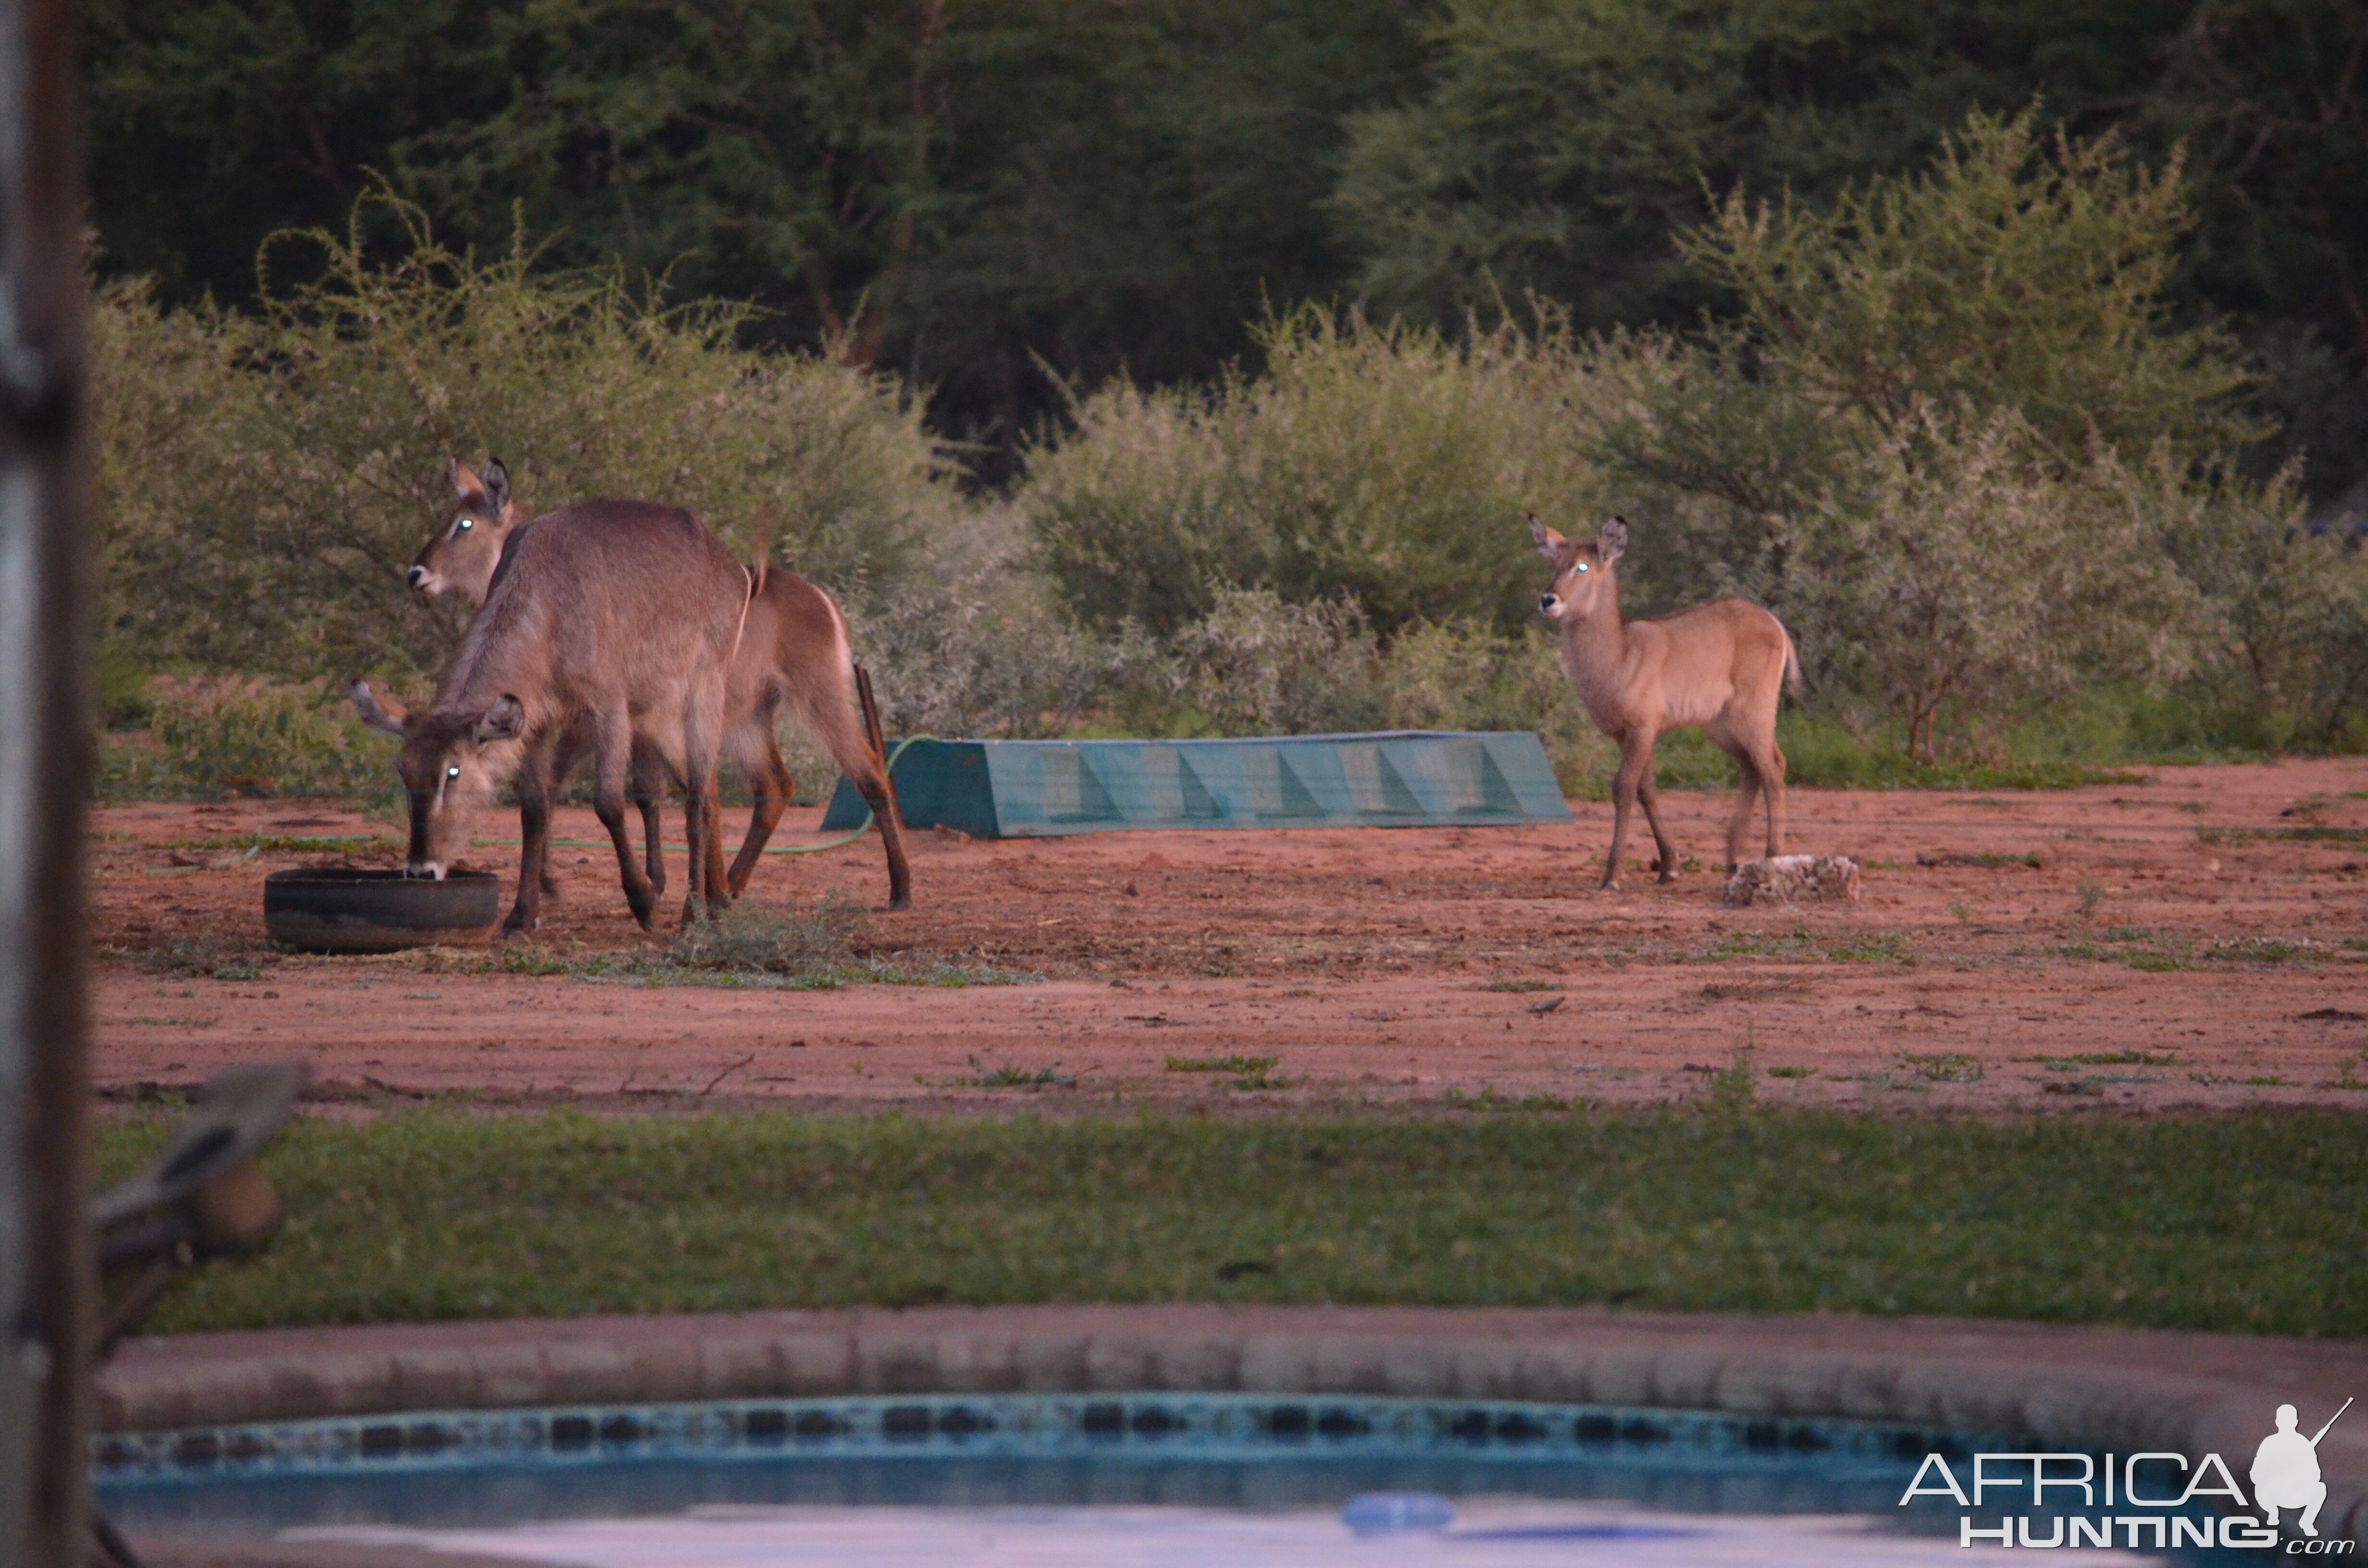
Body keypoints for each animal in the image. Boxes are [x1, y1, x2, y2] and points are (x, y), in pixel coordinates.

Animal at [355, 497, 743, 933]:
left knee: (699, 799)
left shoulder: (609, 709)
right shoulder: (537, 722)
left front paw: (643, 902)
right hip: (653, 715)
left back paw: (694, 914)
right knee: (704, 788)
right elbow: (534, 810)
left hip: (703, 687)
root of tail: (726, 559)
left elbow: (609, 804)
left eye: (452, 772)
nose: (421, 871)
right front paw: (521, 916)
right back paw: (718, 901)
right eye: (403, 770)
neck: (547, 601)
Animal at [407, 457, 904, 909]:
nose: (417, 574)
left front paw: (633, 887)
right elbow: (636, 795)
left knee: (869, 770)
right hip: (750, 720)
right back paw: (732, 884)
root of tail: (824, 600)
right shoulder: (622, 724)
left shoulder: (599, 720)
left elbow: (590, 791)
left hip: (818, 697)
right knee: (774, 787)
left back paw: (900, 890)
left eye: (464, 523)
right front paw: (656, 882)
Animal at [1534, 514, 1790, 890]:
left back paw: (1772, 857)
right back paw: (1733, 861)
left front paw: (1611, 876)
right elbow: (1648, 791)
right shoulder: (1626, 734)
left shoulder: (1642, 728)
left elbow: (1624, 788)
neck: (1620, 653)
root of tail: (1774, 624)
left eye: (1583, 565)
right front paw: (1669, 866)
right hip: (1720, 726)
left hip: (1753, 712)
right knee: (1754, 766)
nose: (1548, 600)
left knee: (1772, 768)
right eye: (1554, 563)